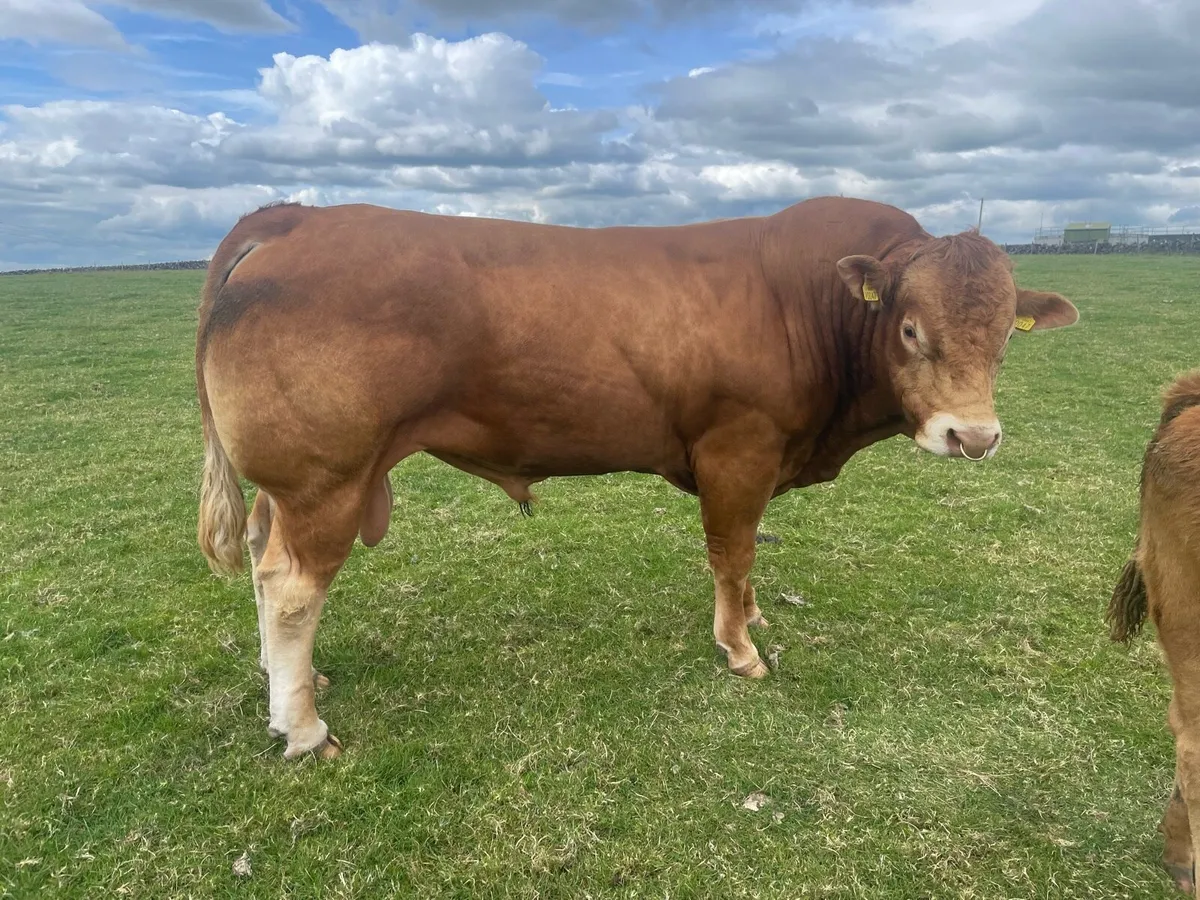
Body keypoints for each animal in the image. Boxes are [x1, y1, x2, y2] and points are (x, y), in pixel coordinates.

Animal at [195, 196, 1079, 760]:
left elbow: (746, 559)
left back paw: (290, 681)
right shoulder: (738, 450)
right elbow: (733, 551)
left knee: (262, 558)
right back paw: (304, 727)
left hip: (290, 488)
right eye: (909, 328)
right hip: (326, 477)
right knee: (291, 589)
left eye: (1007, 336)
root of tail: (300, 216)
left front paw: (751, 619)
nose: (974, 435)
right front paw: (739, 648)